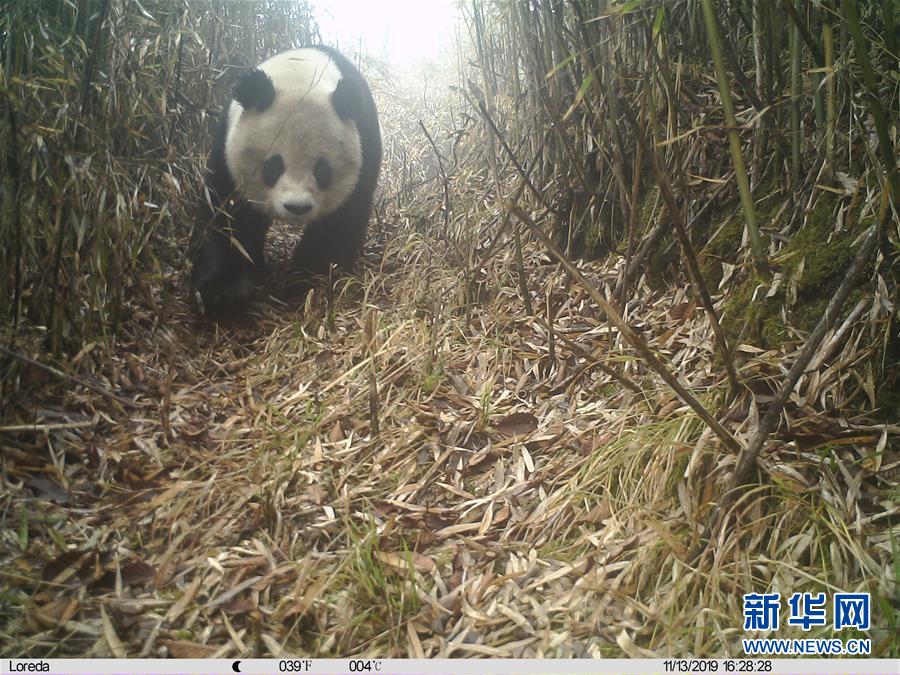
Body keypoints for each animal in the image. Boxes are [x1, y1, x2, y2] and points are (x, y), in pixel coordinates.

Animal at [192, 46, 382, 312]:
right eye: (273, 166)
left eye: (322, 170)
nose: (297, 207)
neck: (300, 73)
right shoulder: (227, 149)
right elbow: (227, 216)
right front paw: (221, 293)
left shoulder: (364, 146)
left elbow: (338, 223)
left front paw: (303, 282)